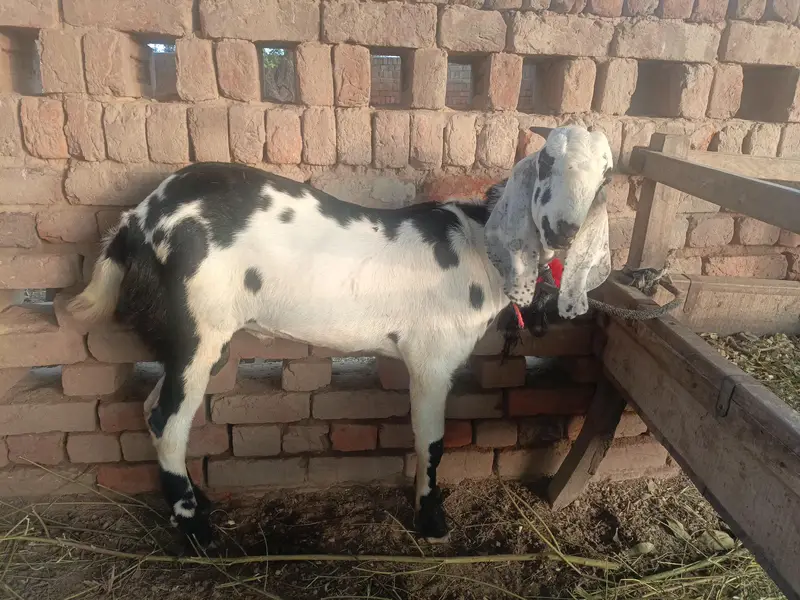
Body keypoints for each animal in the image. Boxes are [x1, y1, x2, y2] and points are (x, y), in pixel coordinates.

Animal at [68, 125, 613, 547]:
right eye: (546, 162)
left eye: (606, 176)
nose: (564, 229)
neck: (479, 245)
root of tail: (138, 221)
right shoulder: (432, 358)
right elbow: (431, 441)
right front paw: (431, 521)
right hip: (197, 328)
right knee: (167, 419)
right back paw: (196, 530)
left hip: (202, 340)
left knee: (152, 409)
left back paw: (196, 502)